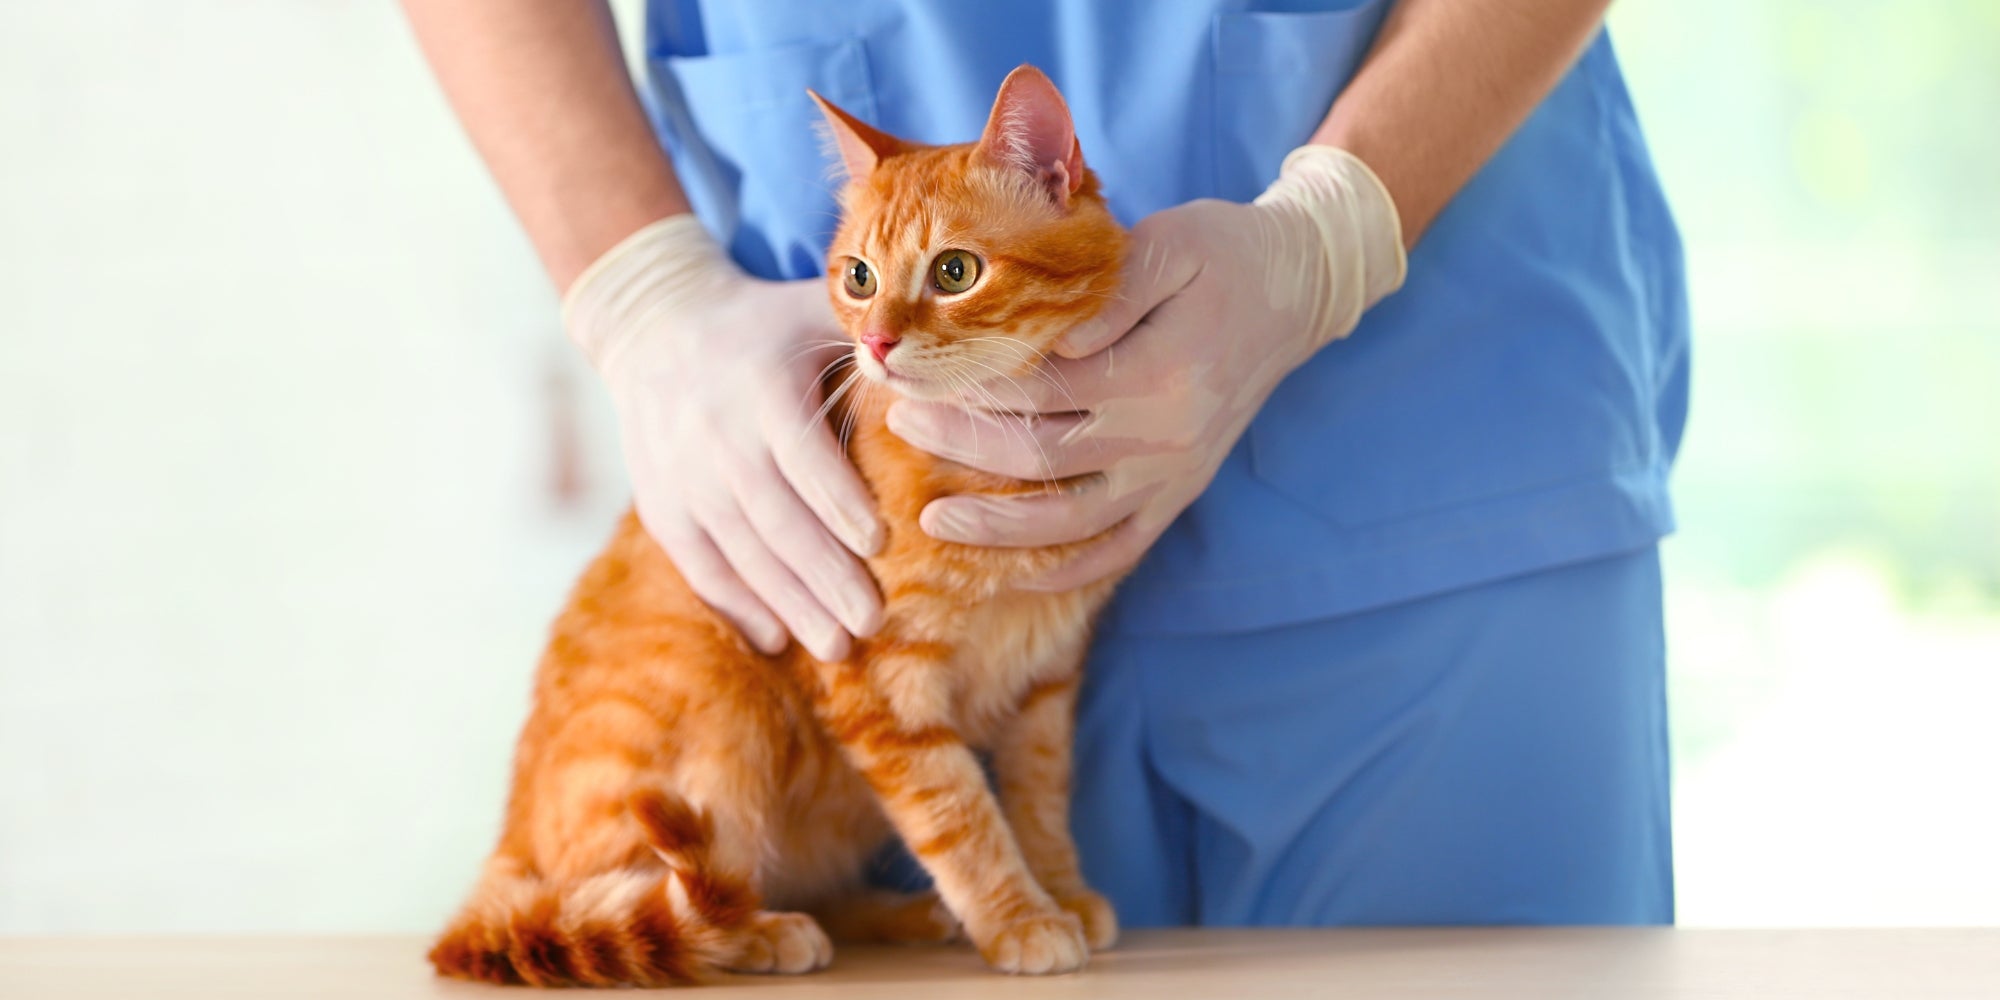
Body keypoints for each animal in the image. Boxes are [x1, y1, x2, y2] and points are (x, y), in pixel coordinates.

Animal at [426, 68, 1128, 984]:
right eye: (859, 277)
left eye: (955, 271)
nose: (876, 343)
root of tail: (503, 849)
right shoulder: (879, 681)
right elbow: (960, 815)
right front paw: (1019, 917)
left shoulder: (1047, 674)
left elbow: (1039, 798)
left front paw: (1061, 891)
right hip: (722, 706)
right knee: (644, 897)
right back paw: (757, 931)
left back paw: (895, 914)